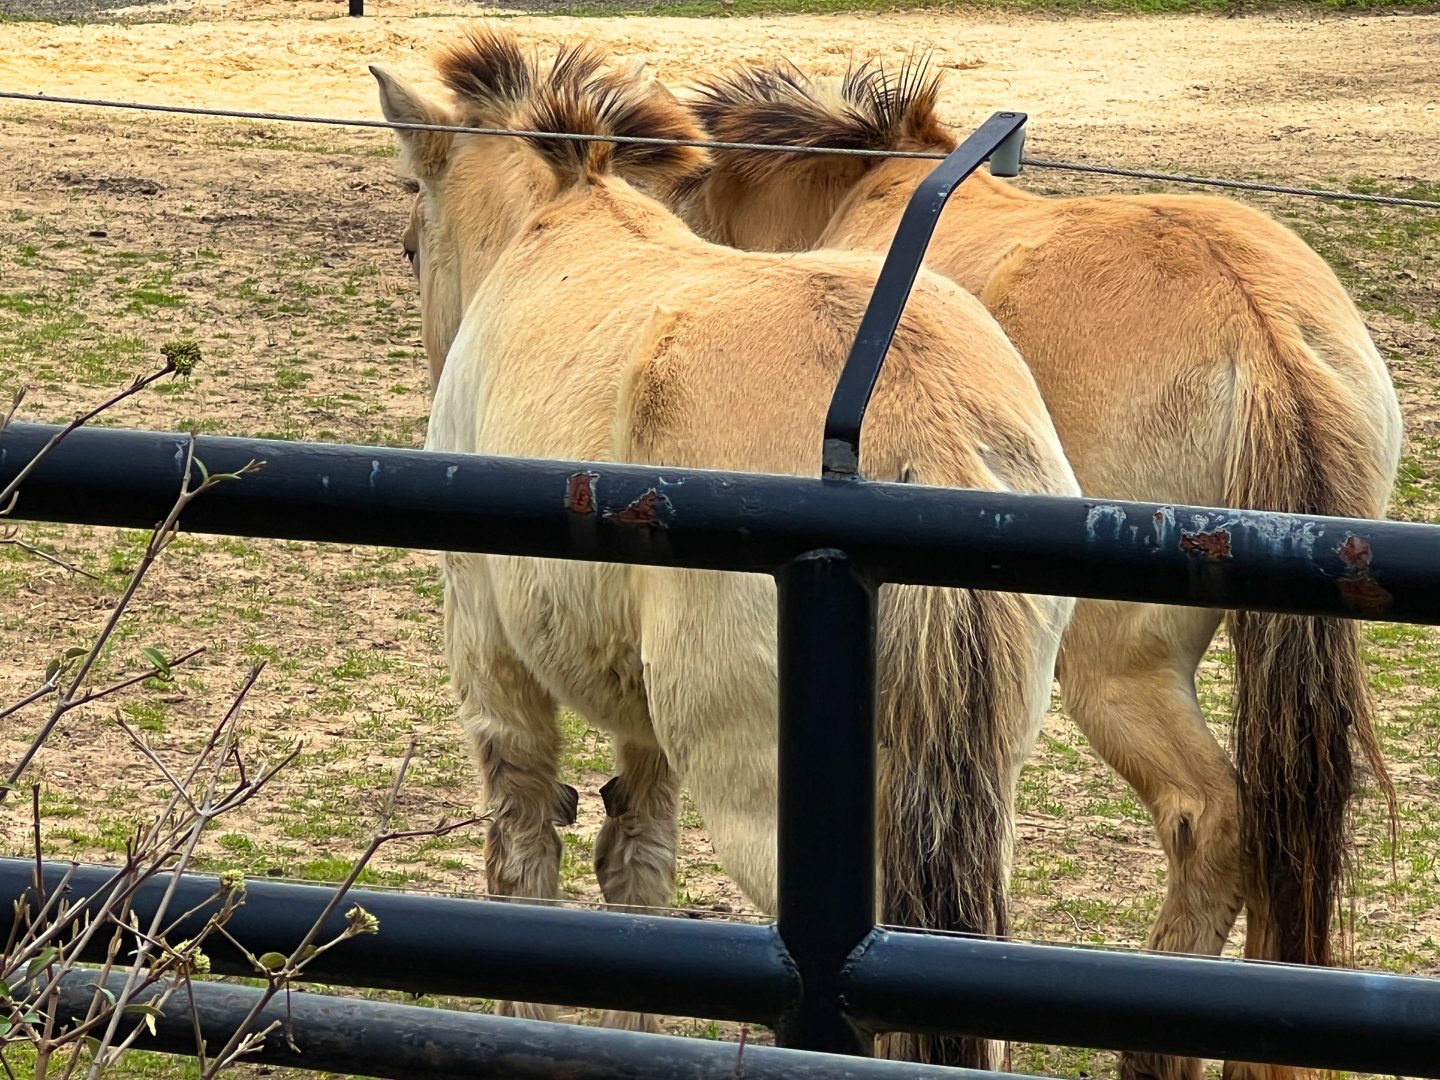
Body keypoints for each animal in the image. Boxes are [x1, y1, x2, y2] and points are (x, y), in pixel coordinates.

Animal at [370, 26, 1080, 1070]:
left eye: (415, 230)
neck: (559, 227)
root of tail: (922, 426)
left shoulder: (493, 665)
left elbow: (524, 863)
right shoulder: (641, 719)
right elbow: (635, 866)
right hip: (975, 802)